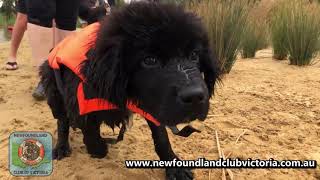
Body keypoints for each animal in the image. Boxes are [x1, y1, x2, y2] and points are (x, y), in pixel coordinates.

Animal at [39, 1, 220, 180]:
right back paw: (61, 147)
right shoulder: (80, 104)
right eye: (149, 60)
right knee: (62, 121)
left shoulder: (155, 106)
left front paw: (175, 167)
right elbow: (91, 135)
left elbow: (162, 138)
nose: (195, 97)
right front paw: (98, 148)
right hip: (54, 90)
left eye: (194, 55)